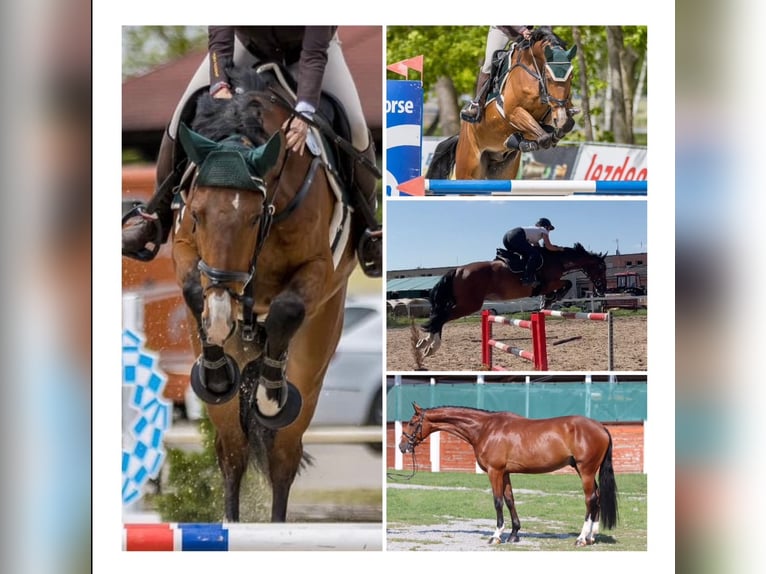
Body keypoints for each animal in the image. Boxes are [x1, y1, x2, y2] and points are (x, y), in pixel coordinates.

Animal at [170, 65, 374, 524]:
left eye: (252, 217)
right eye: (197, 214)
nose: (224, 312)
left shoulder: (317, 269)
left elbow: (287, 308)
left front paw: (269, 392)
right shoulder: (186, 249)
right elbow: (194, 288)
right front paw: (215, 369)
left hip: (315, 355)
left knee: (283, 455)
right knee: (232, 452)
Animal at [400, 402, 620, 548]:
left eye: (411, 422)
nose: (402, 447)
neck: (485, 429)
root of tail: (601, 427)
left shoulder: (494, 471)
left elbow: (497, 501)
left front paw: (496, 535)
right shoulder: (505, 472)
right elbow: (509, 500)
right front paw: (514, 534)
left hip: (586, 471)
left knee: (590, 499)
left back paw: (582, 538)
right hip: (585, 471)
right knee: (597, 497)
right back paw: (591, 536)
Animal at [416, 242, 608, 358]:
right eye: (601, 267)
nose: (602, 289)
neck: (557, 259)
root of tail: (457, 270)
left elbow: (565, 284)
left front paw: (546, 301)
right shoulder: (549, 283)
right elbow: (567, 283)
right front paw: (549, 300)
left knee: (438, 317)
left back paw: (424, 342)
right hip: (469, 305)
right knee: (441, 318)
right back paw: (432, 346)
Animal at [428, 29, 580, 181]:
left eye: (571, 76)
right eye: (548, 77)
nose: (560, 118)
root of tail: (461, 135)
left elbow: (567, 124)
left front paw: (554, 134)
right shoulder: (513, 112)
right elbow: (544, 137)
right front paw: (534, 140)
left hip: (502, 170)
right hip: (468, 169)